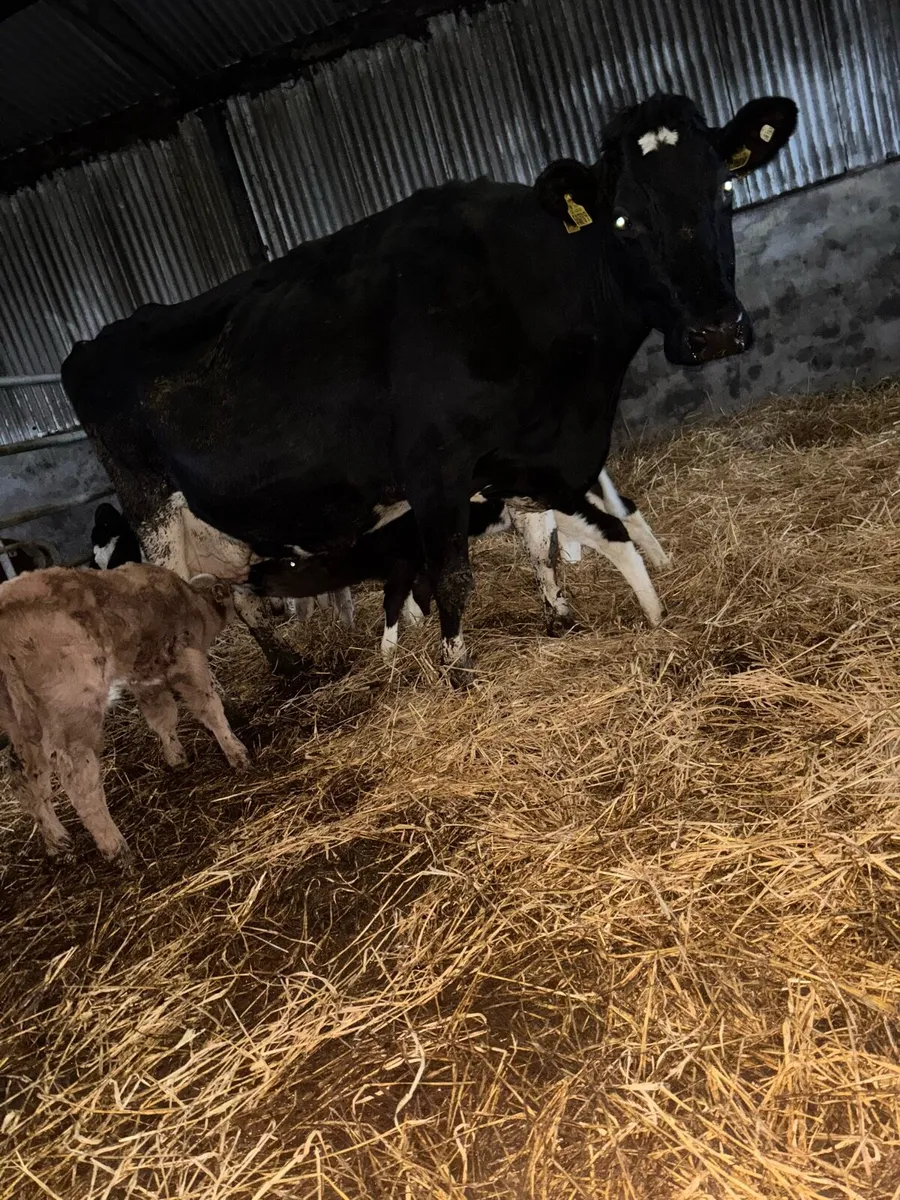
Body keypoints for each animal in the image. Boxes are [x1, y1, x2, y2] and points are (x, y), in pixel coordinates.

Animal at [0, 564, 248, 864]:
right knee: (79, 781)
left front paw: (176, 758)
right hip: (74, 715)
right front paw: (237, 752)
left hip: (22, 725)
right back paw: (114, 846)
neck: (191, 601)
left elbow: (162, 717)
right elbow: (210, 708)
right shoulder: (187, 660)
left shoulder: (146, 680)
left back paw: (57, 841)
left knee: (26, 777)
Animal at [61, 91, 797, 686]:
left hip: (219, 524)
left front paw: (560, 616)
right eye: (623, 220)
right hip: (154, 513)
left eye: (724, 192)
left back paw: (288, 665)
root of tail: (96, 341)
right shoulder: (436, 463)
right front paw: (457, 664)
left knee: (232, 593)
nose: (716, 331)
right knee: (176, 594)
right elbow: (453, 572)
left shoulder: (524, 454)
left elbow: (541, 541)